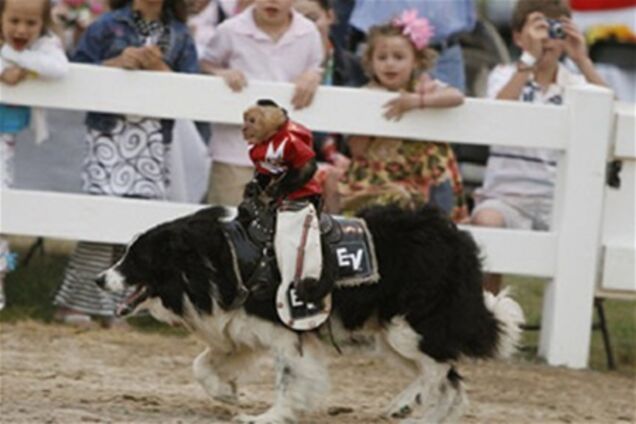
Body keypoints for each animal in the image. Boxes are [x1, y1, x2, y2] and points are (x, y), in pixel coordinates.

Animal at [98, 204, 520, 422]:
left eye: (135, 259)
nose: (100, 279)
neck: (217, 259)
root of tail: (457, 239)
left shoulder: (288, 333)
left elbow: (289, 380)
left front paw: (267, 417)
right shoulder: (240, 329)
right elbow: (201, 365)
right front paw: (227, 393)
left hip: (410, 326)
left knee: (439, 372)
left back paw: (413, 408)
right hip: (389, 334)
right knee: (448, 378)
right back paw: (412, 409)